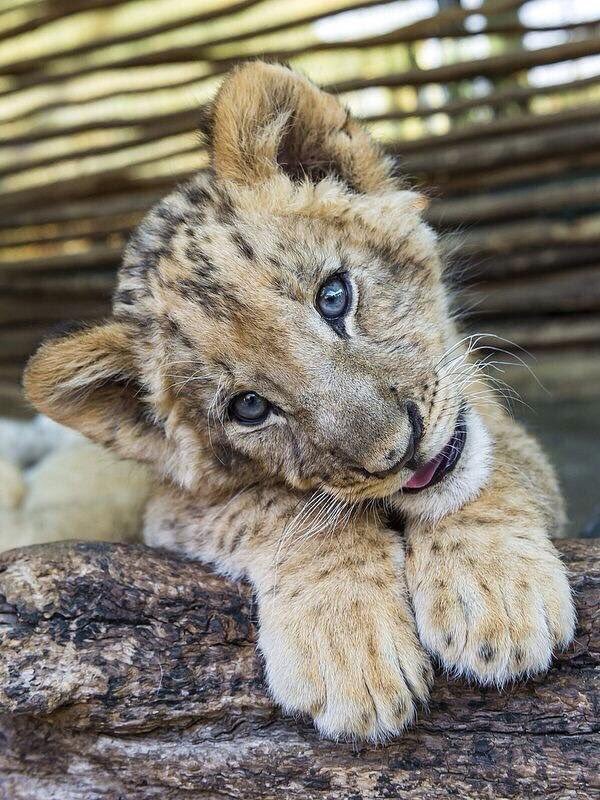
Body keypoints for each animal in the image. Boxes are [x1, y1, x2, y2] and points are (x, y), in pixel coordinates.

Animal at [24, 62, 575, 741]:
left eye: (334, 296)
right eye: (249, 408)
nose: (399, 452)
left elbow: (494, 466)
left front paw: (494, 591)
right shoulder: (165, 514)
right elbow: (283, 512)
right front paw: (348, 651)